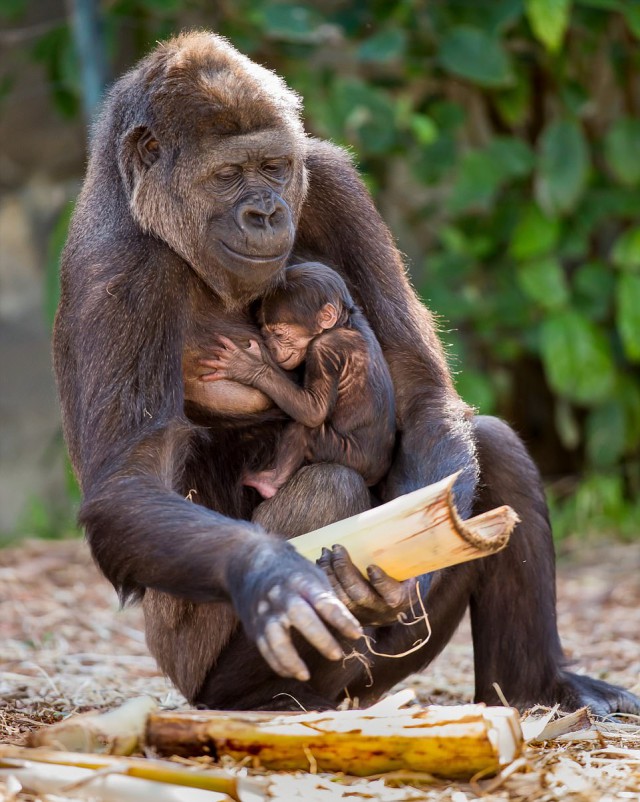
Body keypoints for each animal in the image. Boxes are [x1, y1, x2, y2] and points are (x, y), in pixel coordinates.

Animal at [202, 262, 398, 496]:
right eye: (265, 334)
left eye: (279, 334)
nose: (272, 347)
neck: (343, 325)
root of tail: (377, 472)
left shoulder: (324, 349)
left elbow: (313, 410)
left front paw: (249, 367)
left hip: (347, 454)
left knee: (303, 430)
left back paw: (267, 483)